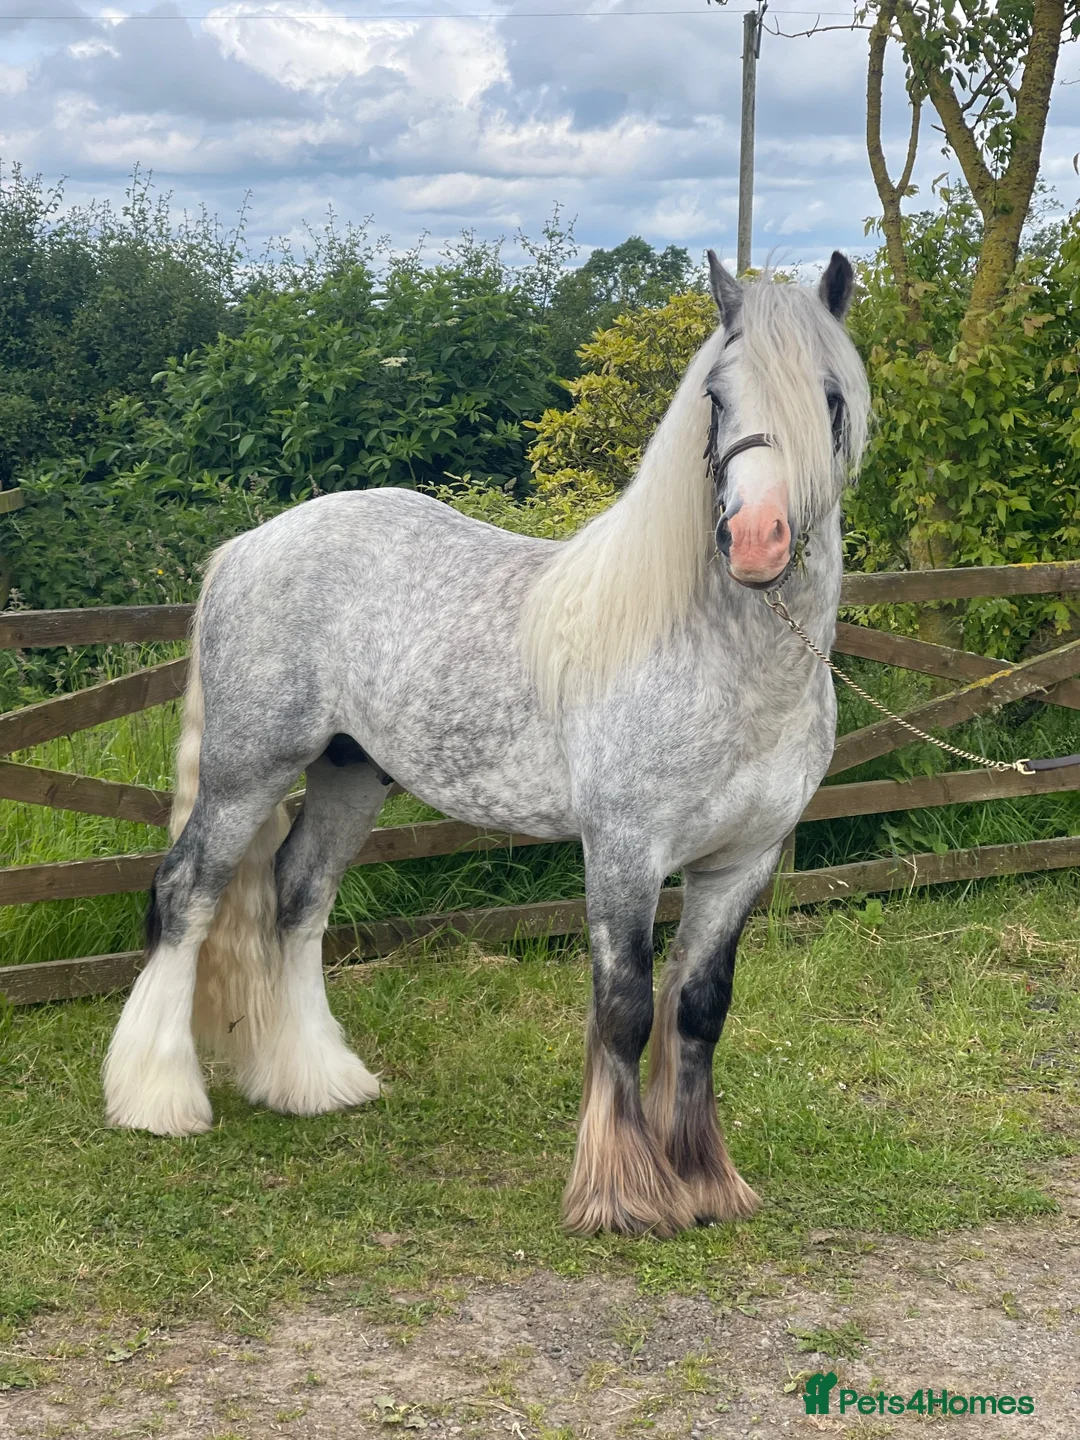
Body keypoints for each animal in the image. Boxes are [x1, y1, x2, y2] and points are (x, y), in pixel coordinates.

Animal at [103, 251, 870, 1239]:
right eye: (716, 396)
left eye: (831, 396)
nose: (757, 539)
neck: (718, 655)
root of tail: (252, 543)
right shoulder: (624, 852)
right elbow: (625, 1010)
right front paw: (622, 1195)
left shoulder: (742, 862)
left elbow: (699, 1010)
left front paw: (704, 1184)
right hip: (246, 773)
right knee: (186, 896)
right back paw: (157, 1099)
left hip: (351, 775)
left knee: (298, 898)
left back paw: (315, 1081)